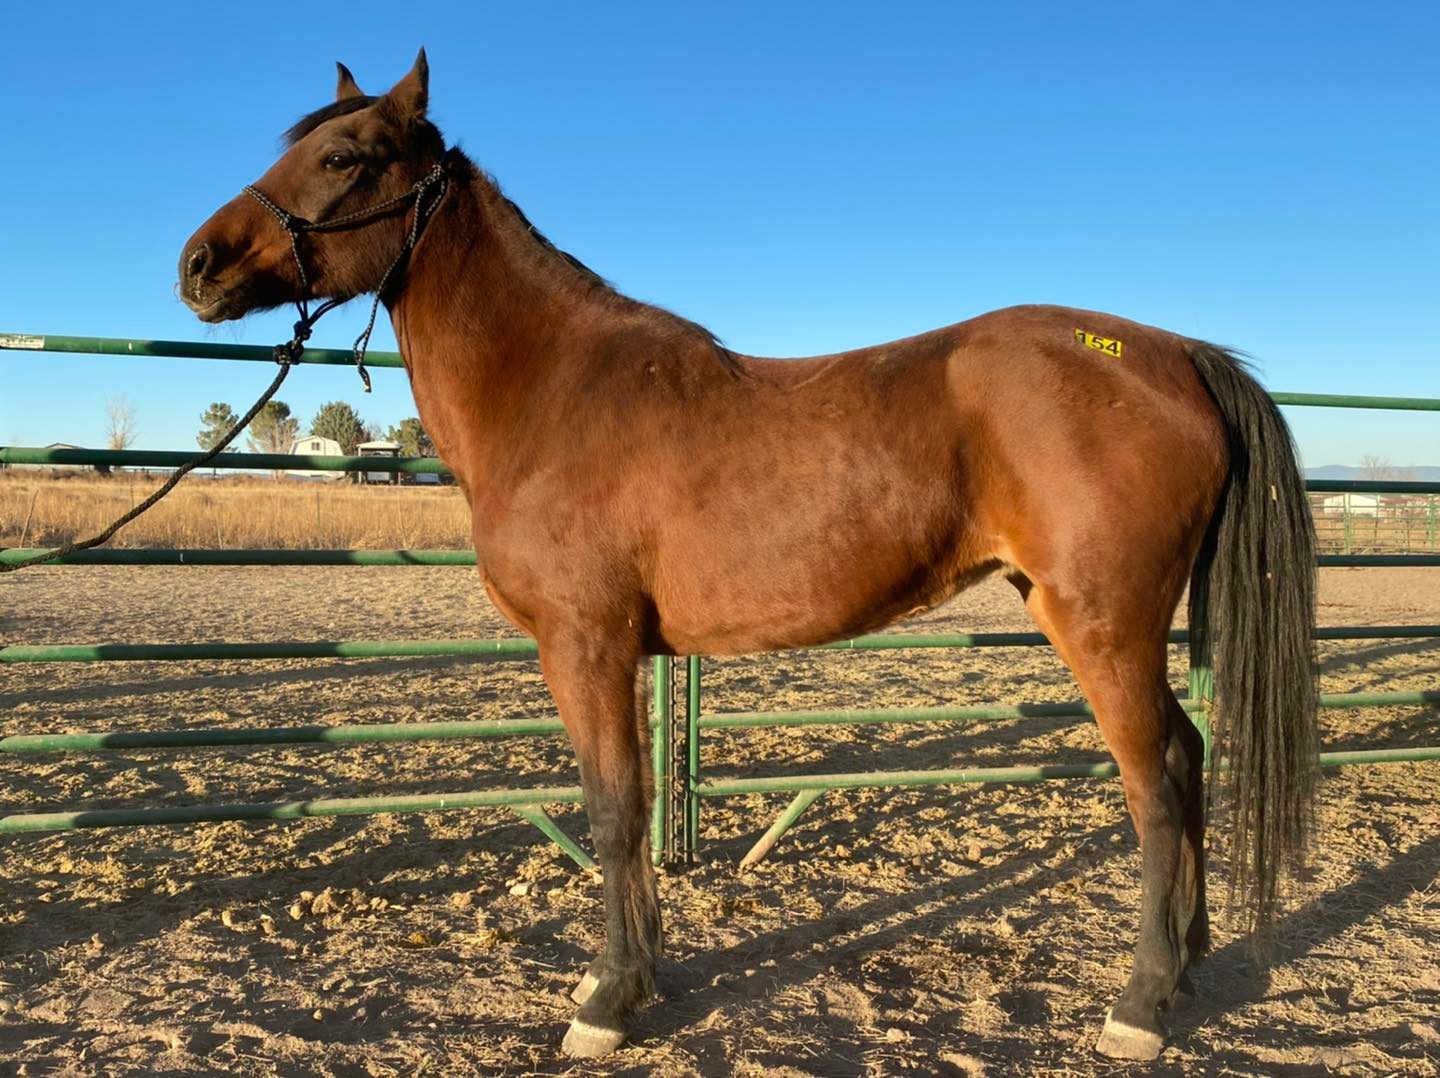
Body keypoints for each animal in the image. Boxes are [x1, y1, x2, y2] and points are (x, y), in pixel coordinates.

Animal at [179, 51, 1319, 1061]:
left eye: (345, 156)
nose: (198, 264)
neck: (551, 389)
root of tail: (1176, 355)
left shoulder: (587, 646)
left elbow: (613, 809)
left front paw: (609, 1000)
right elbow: (629, 805)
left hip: (1101, 623)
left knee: (1157, 781)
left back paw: (1140, 1003)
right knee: (1189, 754)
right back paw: (1187, 967)